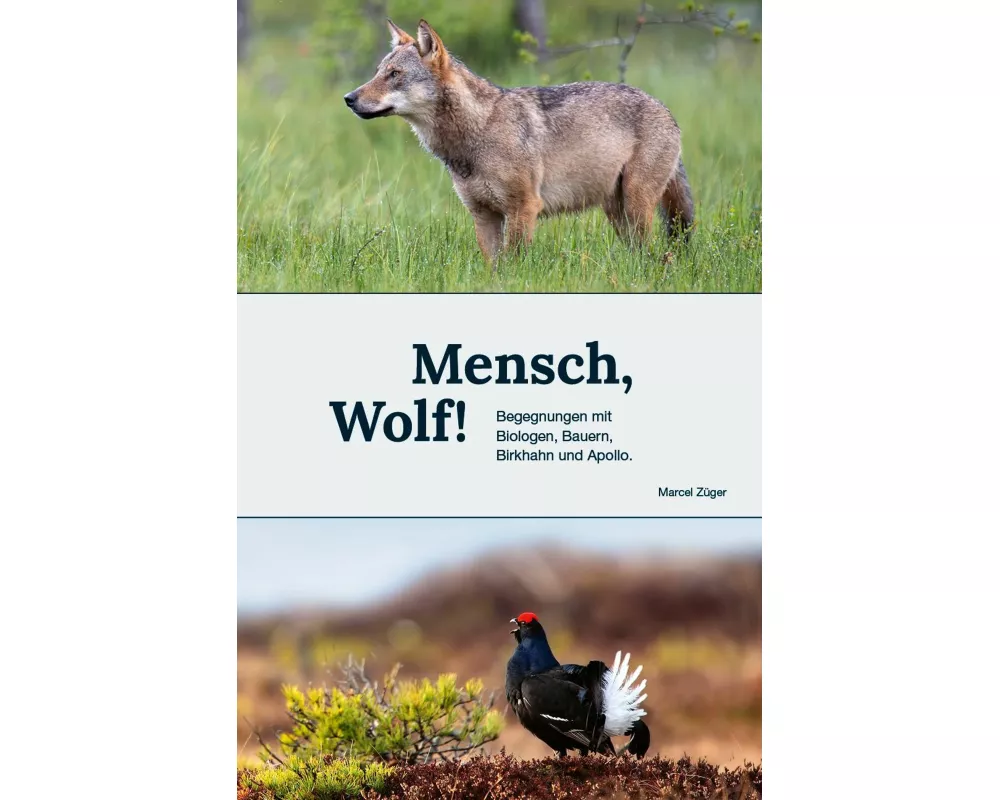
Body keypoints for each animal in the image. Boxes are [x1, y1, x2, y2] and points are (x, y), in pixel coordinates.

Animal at [345, 19, 694, 268]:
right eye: (378, 72)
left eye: (394, 74)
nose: (348, 98)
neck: (478, 131)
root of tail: (666, 109)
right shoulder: (483, 215)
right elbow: (494, 269)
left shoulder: (523, 208)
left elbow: (514, 266)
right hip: (617, 212)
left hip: (637, 206)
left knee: (654, 255)